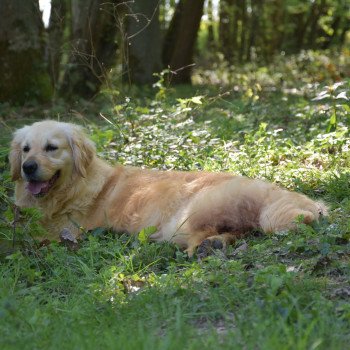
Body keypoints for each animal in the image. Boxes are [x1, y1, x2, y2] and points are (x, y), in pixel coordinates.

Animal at [9, 121, 326, 256]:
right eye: (25, 149)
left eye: (51, 148)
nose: (28, 167)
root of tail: (275, 192)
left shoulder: (67, 231)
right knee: (239, 231)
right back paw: (216, 243)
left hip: (188, 216)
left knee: (198, 236)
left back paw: (203, 247)